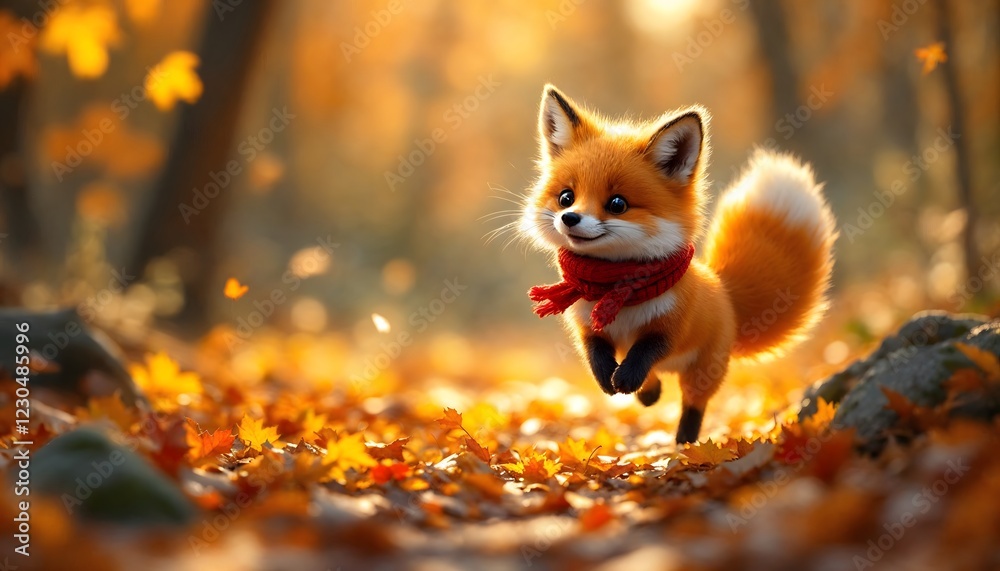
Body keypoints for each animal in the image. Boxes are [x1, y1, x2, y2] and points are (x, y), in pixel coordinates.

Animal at [520, 85, 837, 444]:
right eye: (566, 197)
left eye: (617, 204)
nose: (569, 218)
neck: (617, 289)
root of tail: (724, 291)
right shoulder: (586, 325)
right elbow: (595, 355)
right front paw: (608, 379)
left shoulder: (672, 326)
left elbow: (645, 352)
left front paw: (626, 378)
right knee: (654, 385)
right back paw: (648, 393)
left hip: (704, 371)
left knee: (693, 405)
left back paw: (684, 444)